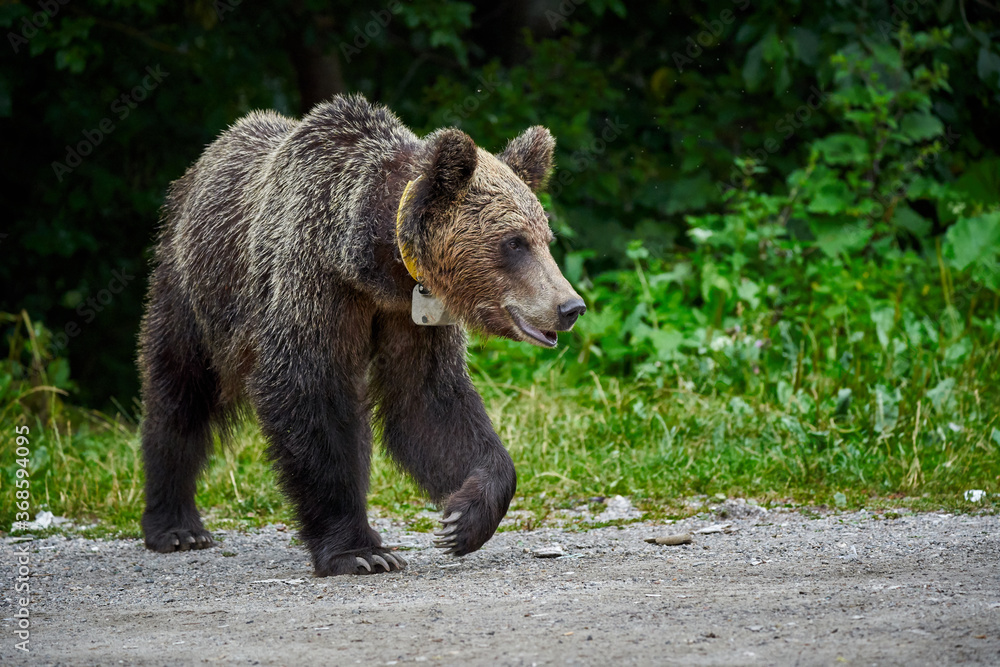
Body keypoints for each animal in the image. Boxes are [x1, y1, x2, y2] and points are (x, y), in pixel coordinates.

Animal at [138, 93, 585, 576]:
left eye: (545, 238)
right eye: (514, 242)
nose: (570, 307)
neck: (375, 262)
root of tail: (205, 158)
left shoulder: (410, 315)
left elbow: (429, 402)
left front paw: (462, 519)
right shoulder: (314, 283)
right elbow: (309, 392)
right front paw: (360, 551)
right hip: (193, 287)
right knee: (180, 390)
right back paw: (176, 525)